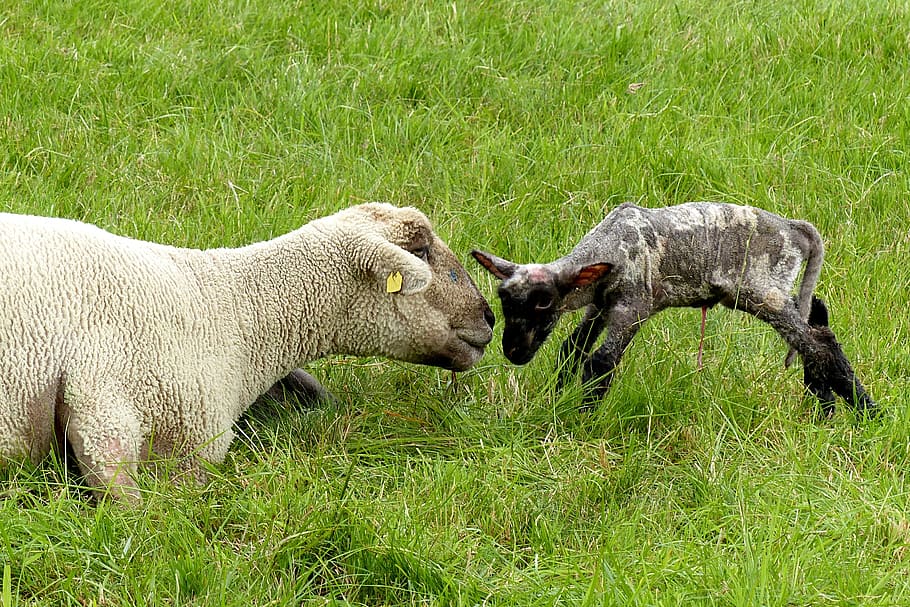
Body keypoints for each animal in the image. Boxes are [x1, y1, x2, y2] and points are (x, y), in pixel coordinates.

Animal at [472, 201, 875, 415]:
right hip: (777, 292)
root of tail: (794, 228)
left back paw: (851, 412)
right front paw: (556, 400)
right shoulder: (602, 305)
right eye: (503, 297)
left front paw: (583, 417)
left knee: (817, 344)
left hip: (764, 291)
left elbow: (601, 361)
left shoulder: (634, 306)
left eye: (544, 301)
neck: (608, 248)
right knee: (818, 330)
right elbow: (572, 349)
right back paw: (845, 409)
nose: (513, 352)